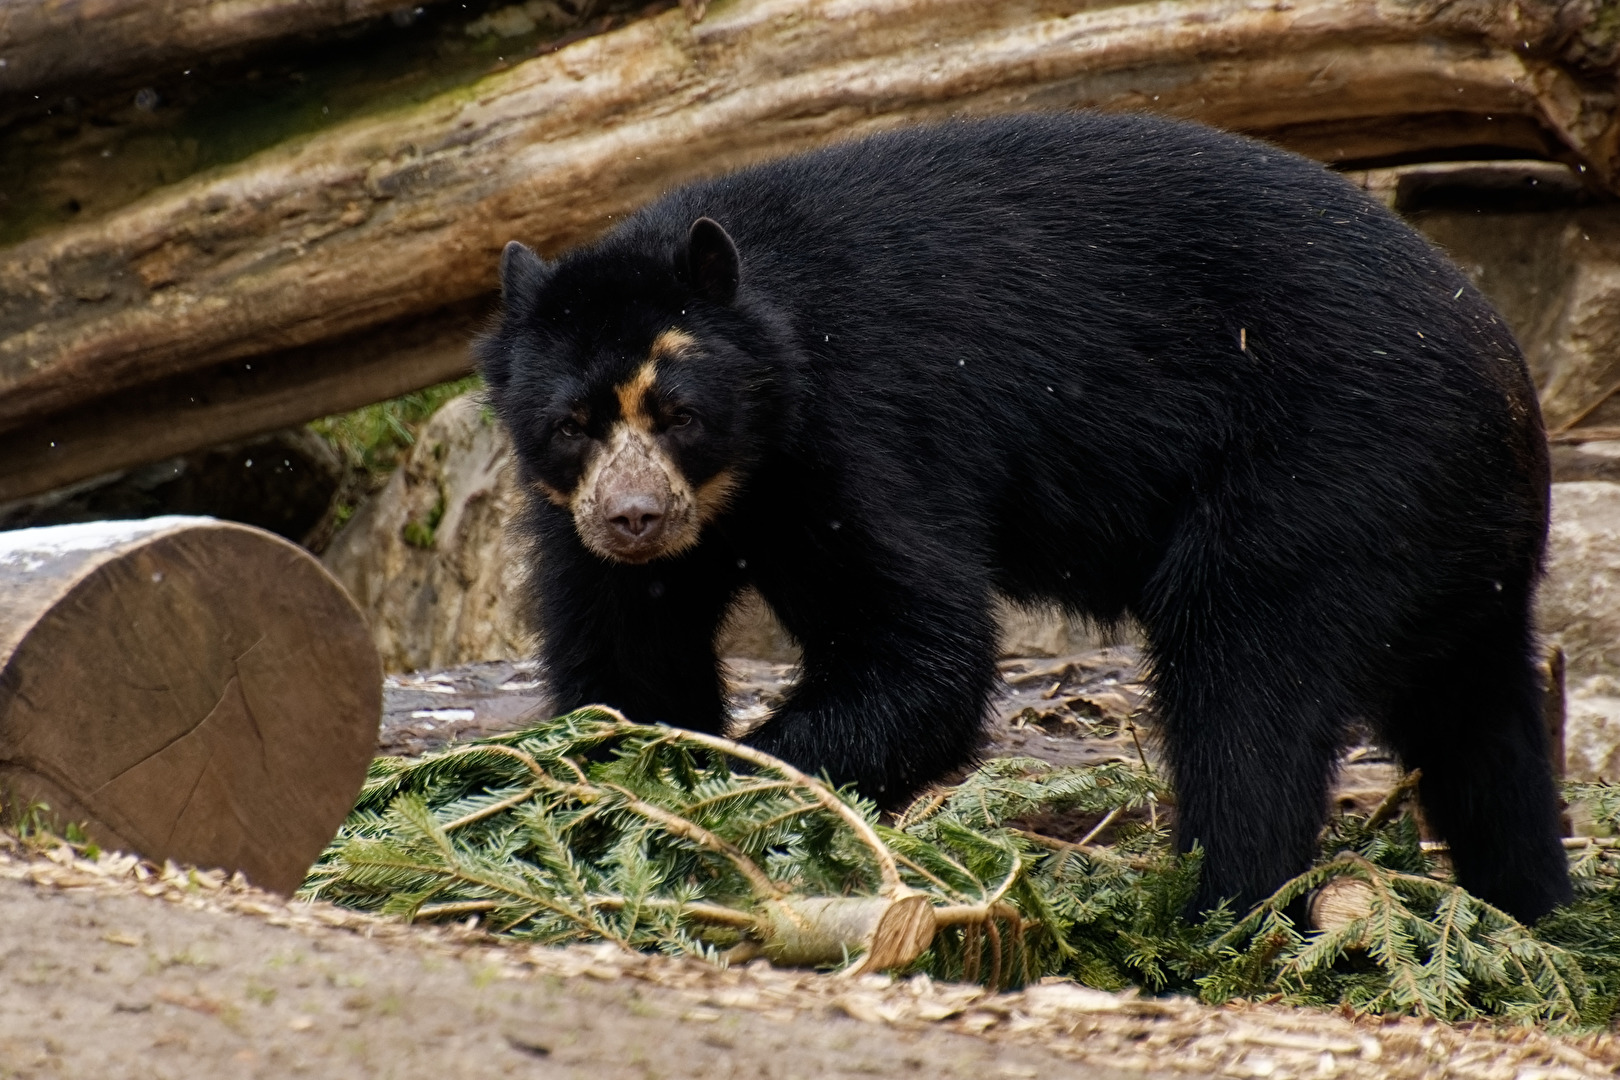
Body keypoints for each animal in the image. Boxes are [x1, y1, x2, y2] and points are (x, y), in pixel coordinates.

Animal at [473, 110, 1574, 926]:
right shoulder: (579, 520)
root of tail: (1507, 376)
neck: (746, 471)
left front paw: (737, 784)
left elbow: (919, 649)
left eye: (682, 416)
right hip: (1443, 537)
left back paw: (1209, 917)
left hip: (1330, 468)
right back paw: (1535, 909)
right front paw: (616, 780)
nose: (634, 520)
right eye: (570, 425)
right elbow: (628, 655)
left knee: (1245, 678)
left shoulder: (858, 432)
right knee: (1481, 724)